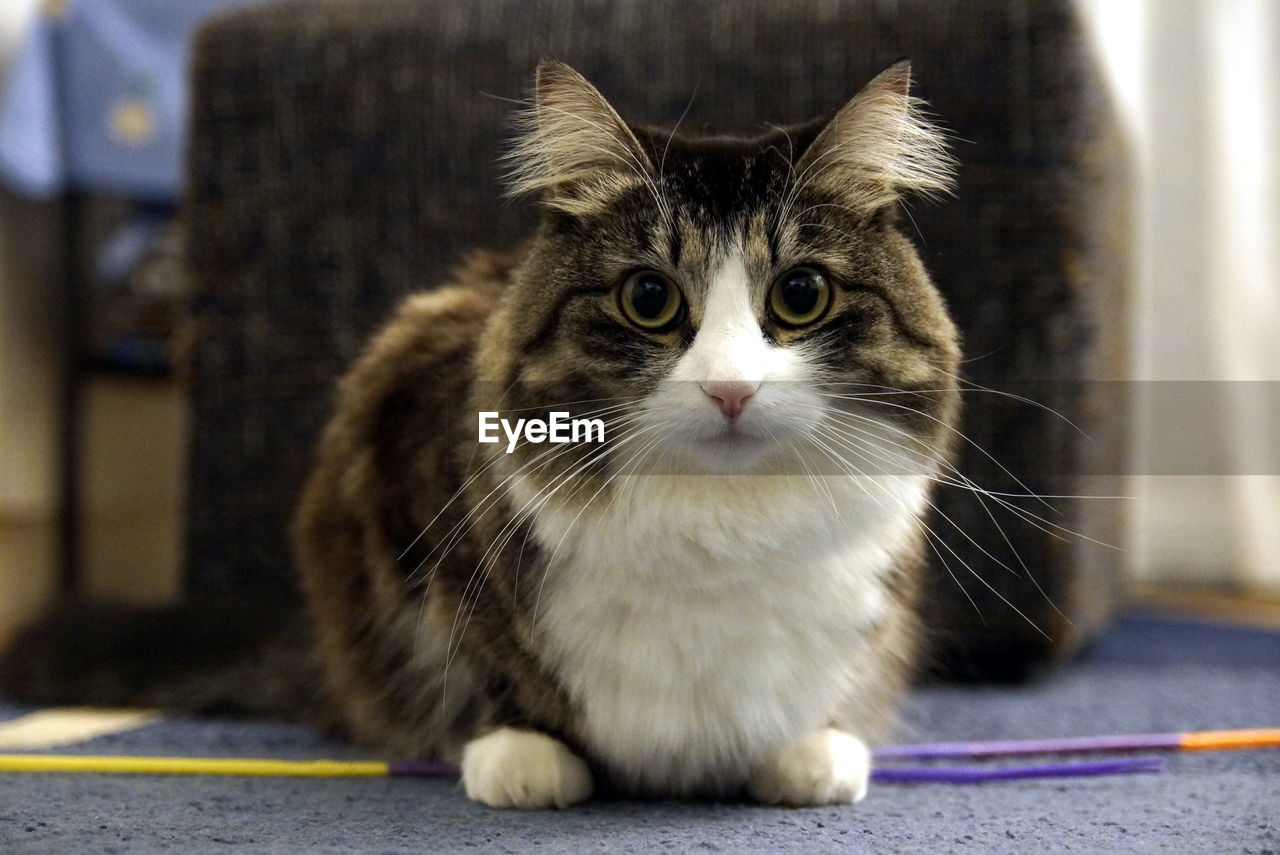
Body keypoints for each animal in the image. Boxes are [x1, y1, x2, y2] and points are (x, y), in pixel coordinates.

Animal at [288, 60, 952, 808]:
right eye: (648, 298)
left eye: (801, 294)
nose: (730, 388)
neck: (722, 530)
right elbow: (478, 646)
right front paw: (523, 753)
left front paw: (811, 749)